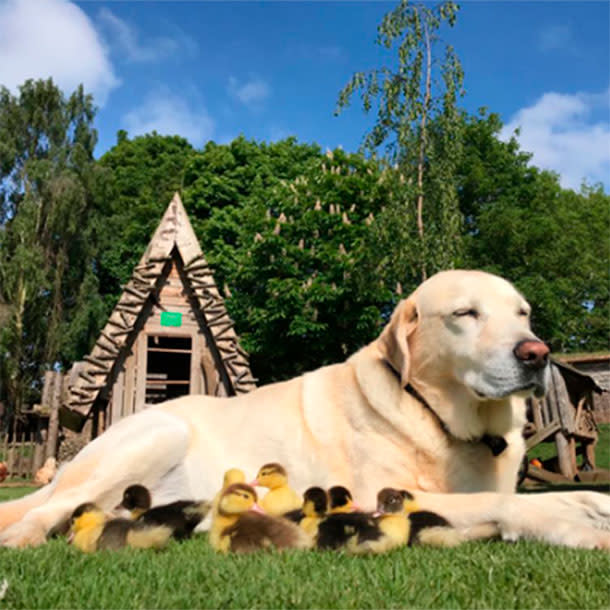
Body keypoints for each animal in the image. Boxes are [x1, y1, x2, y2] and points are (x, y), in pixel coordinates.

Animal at [1, 270, 608, 548]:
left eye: (523, 313)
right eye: (466, 314)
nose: (537, 354)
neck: (439, 417)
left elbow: (538, 496)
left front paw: (591, 505)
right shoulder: (382, 494)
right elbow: (507, 504)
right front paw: (572, 525)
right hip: (158, 432)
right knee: (44, 514)